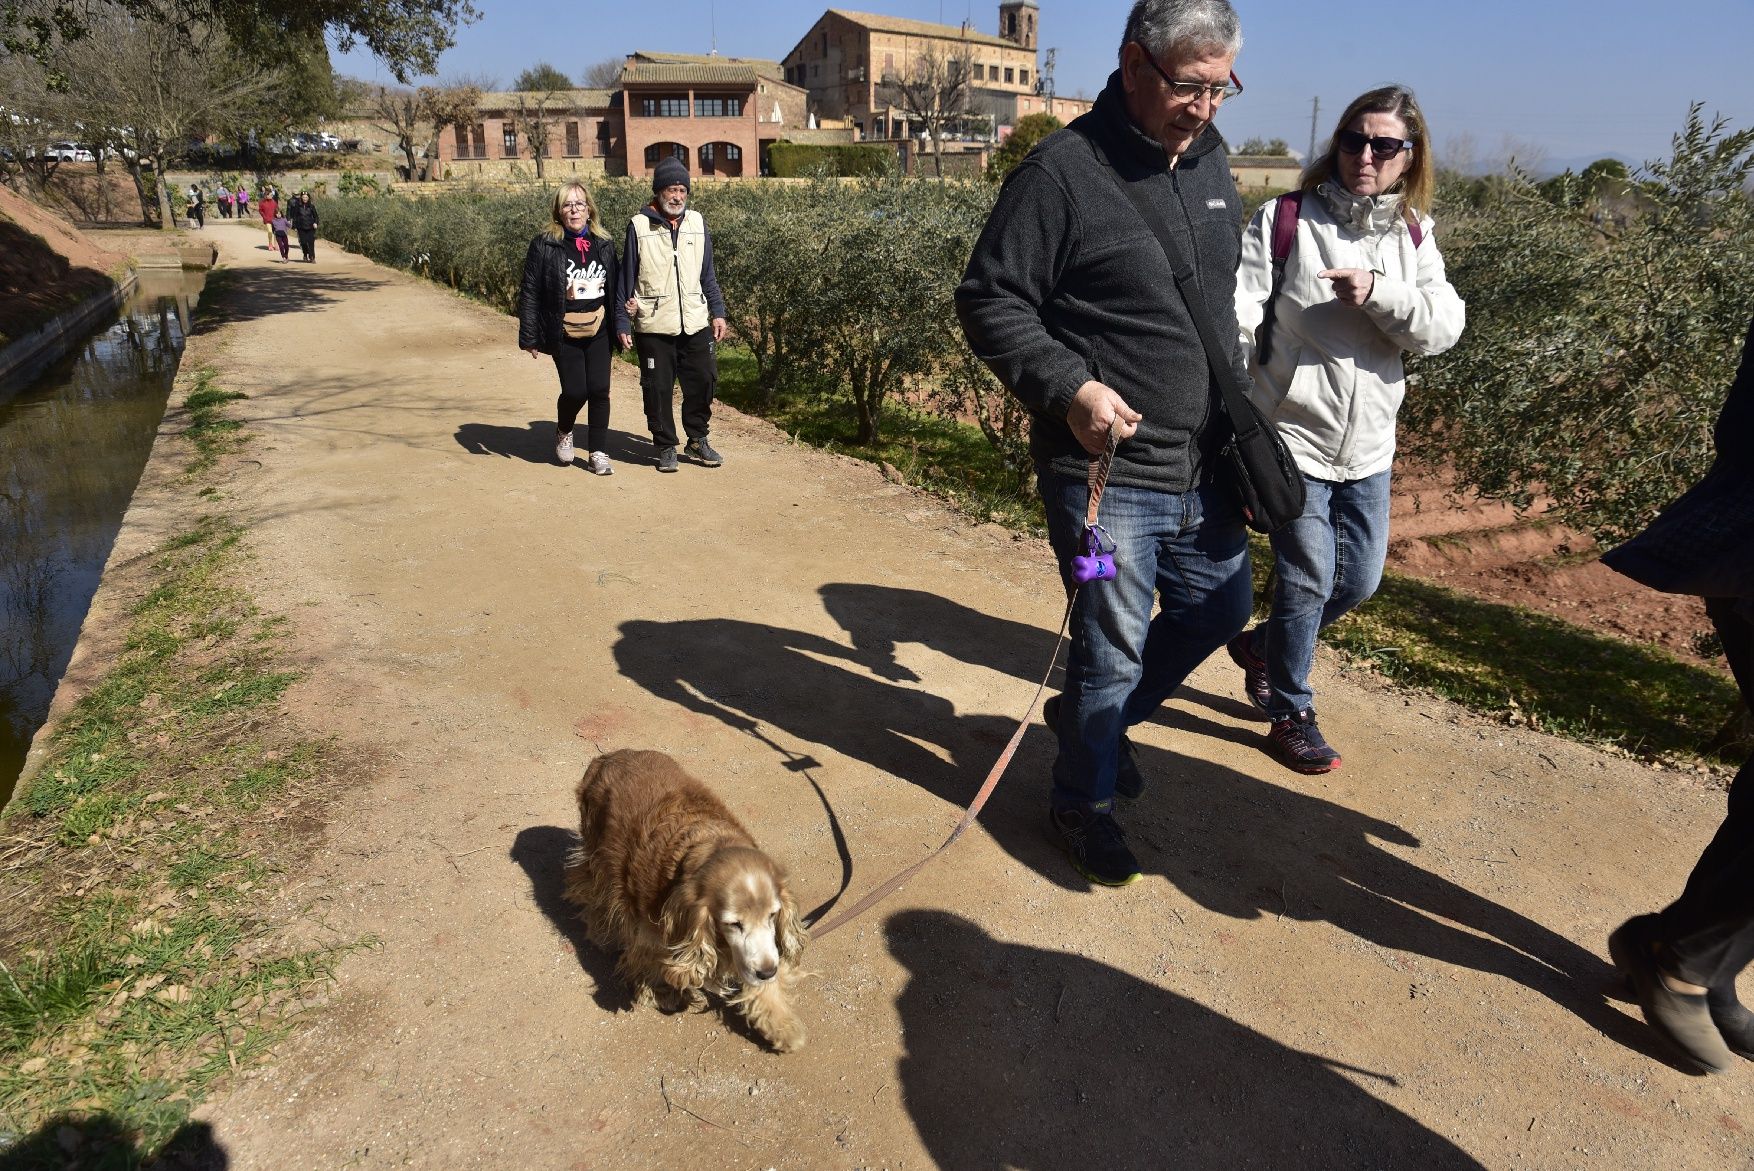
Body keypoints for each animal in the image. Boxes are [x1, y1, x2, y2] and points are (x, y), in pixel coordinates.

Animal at [561, 750, 806, 1051]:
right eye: (733, 923)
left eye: (773, 915)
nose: (768, 972)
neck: (708, 845)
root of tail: (606, 757)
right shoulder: (652, 925)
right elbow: (651, 955)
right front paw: (661, 991)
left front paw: (781, 1024)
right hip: (601, 853)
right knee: (588, 886)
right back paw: (601, 933)